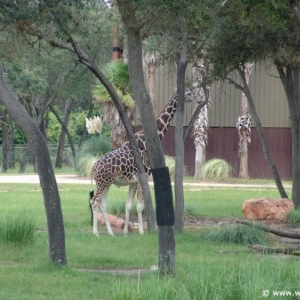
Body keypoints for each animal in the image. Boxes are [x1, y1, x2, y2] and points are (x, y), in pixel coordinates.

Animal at [90, 90, 196, 236]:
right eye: (189, 93)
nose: (197, 99)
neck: (145, 141)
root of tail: (93, 168)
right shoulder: (143, 177)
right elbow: (140, 206)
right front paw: (141, 231)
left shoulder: (133, 182)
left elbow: (128, 205)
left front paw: (125, 232)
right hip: (103, 183)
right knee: (94, 201)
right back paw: (95, 233)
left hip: (106, 183)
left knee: (102, 203)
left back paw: (111, 233)